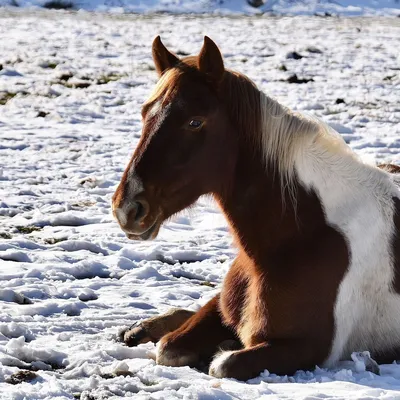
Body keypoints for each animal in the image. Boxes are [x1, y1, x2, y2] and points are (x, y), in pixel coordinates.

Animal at [111, 36, 400, 382]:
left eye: (195, 121)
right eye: (145, 114)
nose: (127, 209)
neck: (302, 235)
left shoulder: (308, 348)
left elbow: (220, 363)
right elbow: (171, 346)